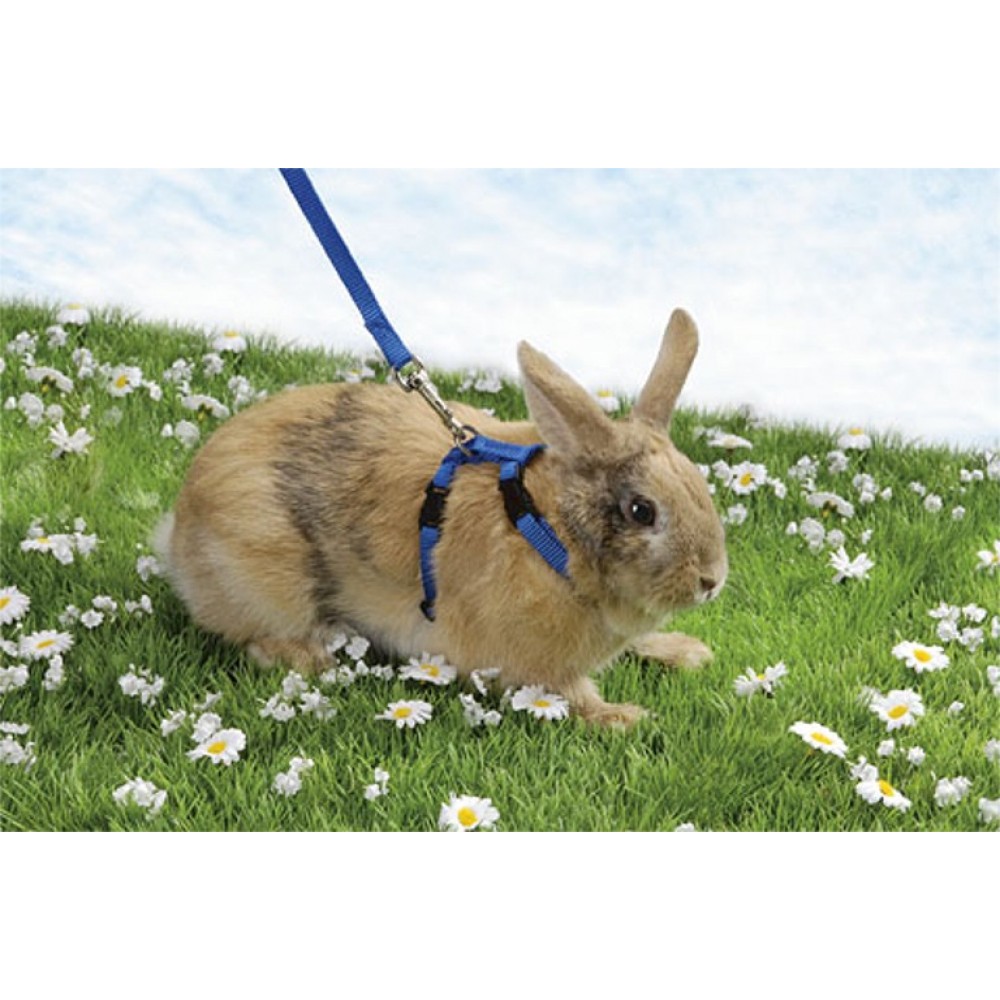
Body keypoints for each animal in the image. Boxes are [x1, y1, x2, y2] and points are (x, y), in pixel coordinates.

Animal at [155, 308, 727, 725]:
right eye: (641, 511)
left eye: (697, 486)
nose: (711, 581)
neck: (549, 533)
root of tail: (179, 531)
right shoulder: (532, 666)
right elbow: (573, 695)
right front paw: (627, 717)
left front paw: (688, 653)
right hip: (272, 584)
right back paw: (319, 660)